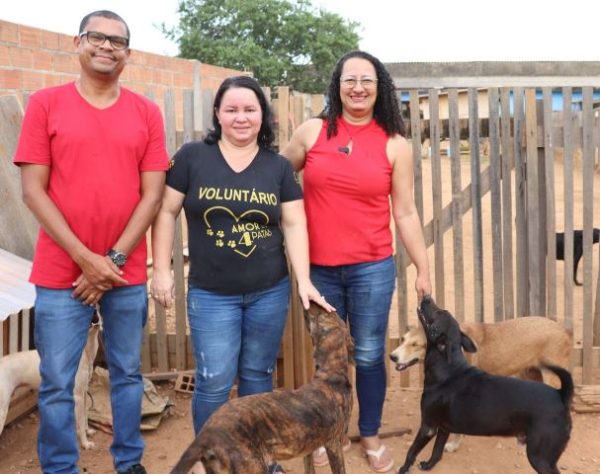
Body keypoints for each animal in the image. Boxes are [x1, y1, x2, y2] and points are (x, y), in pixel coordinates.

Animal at [0, 314, 100, 449]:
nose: (96, 319)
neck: (85, 351)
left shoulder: (84, 392)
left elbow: (85, 417)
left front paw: (88, 431)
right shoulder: (78, 397)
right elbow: (80, 421)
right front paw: (85, 443)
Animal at [170, 303, 354, 474]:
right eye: (326, 314)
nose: (312, 301)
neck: (331, 374)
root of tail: (207, 432)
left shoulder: (309, 449)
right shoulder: (333, 444)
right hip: (253, 466)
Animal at [397, 296, 573, 474]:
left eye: (439, 313)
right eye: (402, 340)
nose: (426, 297)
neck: (449, 366)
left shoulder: (429, 426)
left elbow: (412, 451)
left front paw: (405, 468)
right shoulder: (443, 427)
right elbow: (436, 451)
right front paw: (429, 464)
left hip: (540, 453)